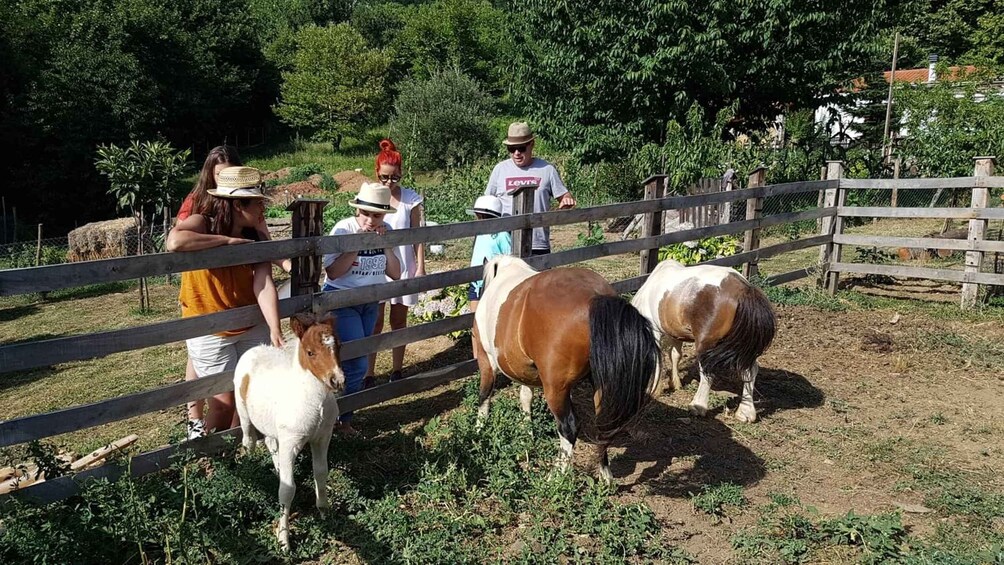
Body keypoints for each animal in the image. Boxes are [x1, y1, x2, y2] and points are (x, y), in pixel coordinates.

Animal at [233, 311, 345, 549]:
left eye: (339, 345)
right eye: (310, 352)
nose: (337, 380)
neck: (314, 402)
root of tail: (254, 349)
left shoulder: (322, 438)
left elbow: (321, 472)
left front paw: (324, 511)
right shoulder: (290, 443)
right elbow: (287, 489)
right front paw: (283, 539)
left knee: (269, 442)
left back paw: (276, 469)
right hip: (244, 414)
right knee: (248, 441)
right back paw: (250, 470)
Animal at [473, 256, 662, 481]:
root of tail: (594, 297)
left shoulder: (486, 361)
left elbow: (484, 397)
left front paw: (478, 432)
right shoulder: (526, 371)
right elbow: (525, 398)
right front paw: (526, 433)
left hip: (556, 389)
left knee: (569, 428)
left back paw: (556, 477)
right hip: (600, 385)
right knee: (603, 426)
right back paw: (605, 476)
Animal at [630, 258, 779, 421]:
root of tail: (743, 289)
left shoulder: (654, 331)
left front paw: (653, 389)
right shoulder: (675, 333)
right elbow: (675, 356)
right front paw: (675, 383)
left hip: (706, 345)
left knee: (708, 374)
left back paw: (698, 406)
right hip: (744, 347)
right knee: (749, 372)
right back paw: (745, 412)